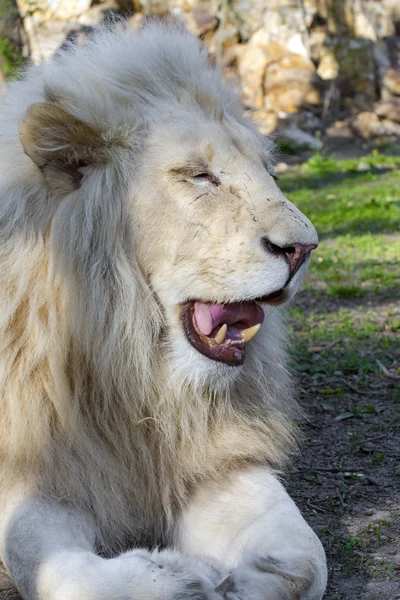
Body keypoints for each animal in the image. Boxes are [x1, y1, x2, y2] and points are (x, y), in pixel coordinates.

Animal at [0, 23, 326, 600]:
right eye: (200, 176)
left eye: (268, 170)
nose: (303, 248)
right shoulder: (34, 467)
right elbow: (53, 567)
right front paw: (176, 579)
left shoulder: (215, 459)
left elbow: (309, 558)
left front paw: (254, 579)